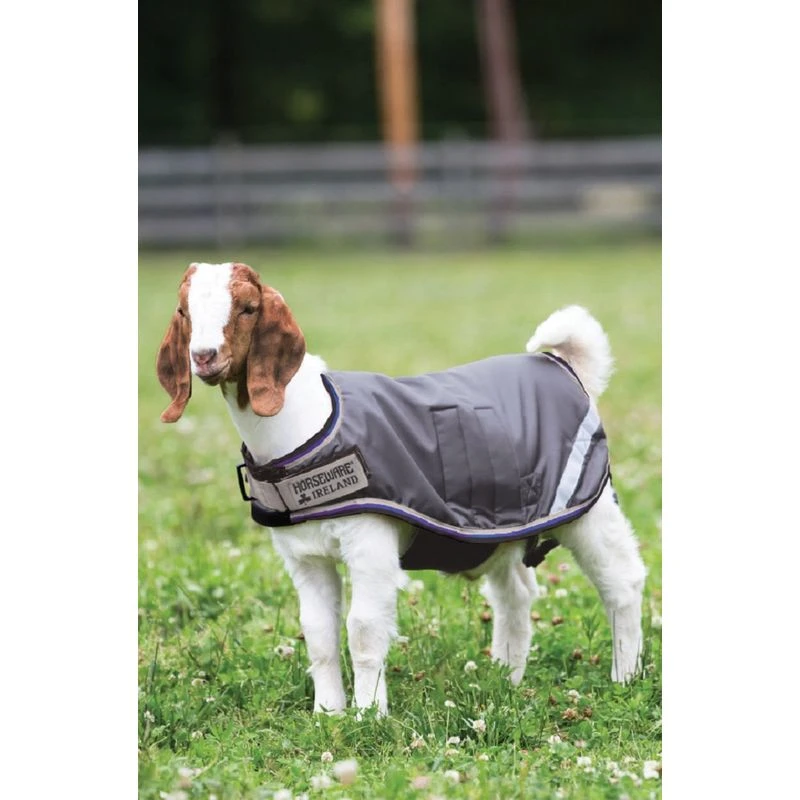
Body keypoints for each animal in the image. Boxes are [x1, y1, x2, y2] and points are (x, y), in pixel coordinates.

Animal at [156, 261, 646, 715]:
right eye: (183, 310)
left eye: (247, 308)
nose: (204, 356)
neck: (308, 423)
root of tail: (565, 365)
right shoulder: (304, 556)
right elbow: (318, 633)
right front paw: (327, 713)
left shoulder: (369, 541)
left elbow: (363, 628)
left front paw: (368, 715)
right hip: (503, 525)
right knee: (516, 593)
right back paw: (504, 676)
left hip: (589, 505)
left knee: (622, 583)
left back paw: (625, 676)